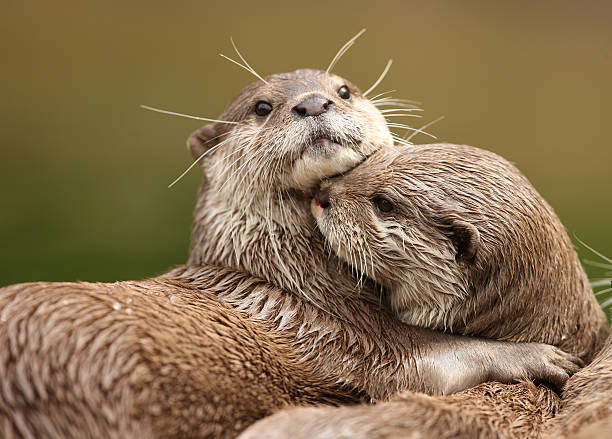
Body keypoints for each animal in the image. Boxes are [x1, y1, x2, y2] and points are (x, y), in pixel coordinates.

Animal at [0, 69, 584, 439]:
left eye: (343, 89)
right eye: (263, 107)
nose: (314, 103)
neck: (284, 267)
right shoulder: (345, 334)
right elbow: (429, 360)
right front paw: (536, 356)